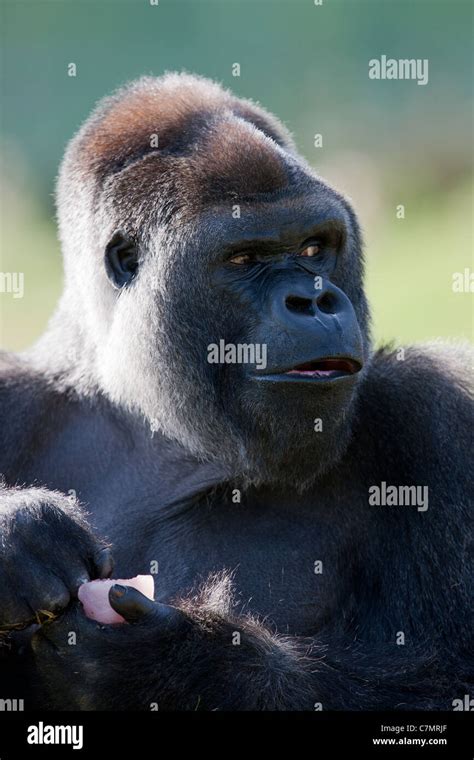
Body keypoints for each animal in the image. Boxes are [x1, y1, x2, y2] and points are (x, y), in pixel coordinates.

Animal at [0, 74, 472, 708]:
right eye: (244, 258)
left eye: (315, 248)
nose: (315, 300)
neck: (156, 420)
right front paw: (17, 537)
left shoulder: (437, 412)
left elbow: (449, 680)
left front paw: (173, 665)